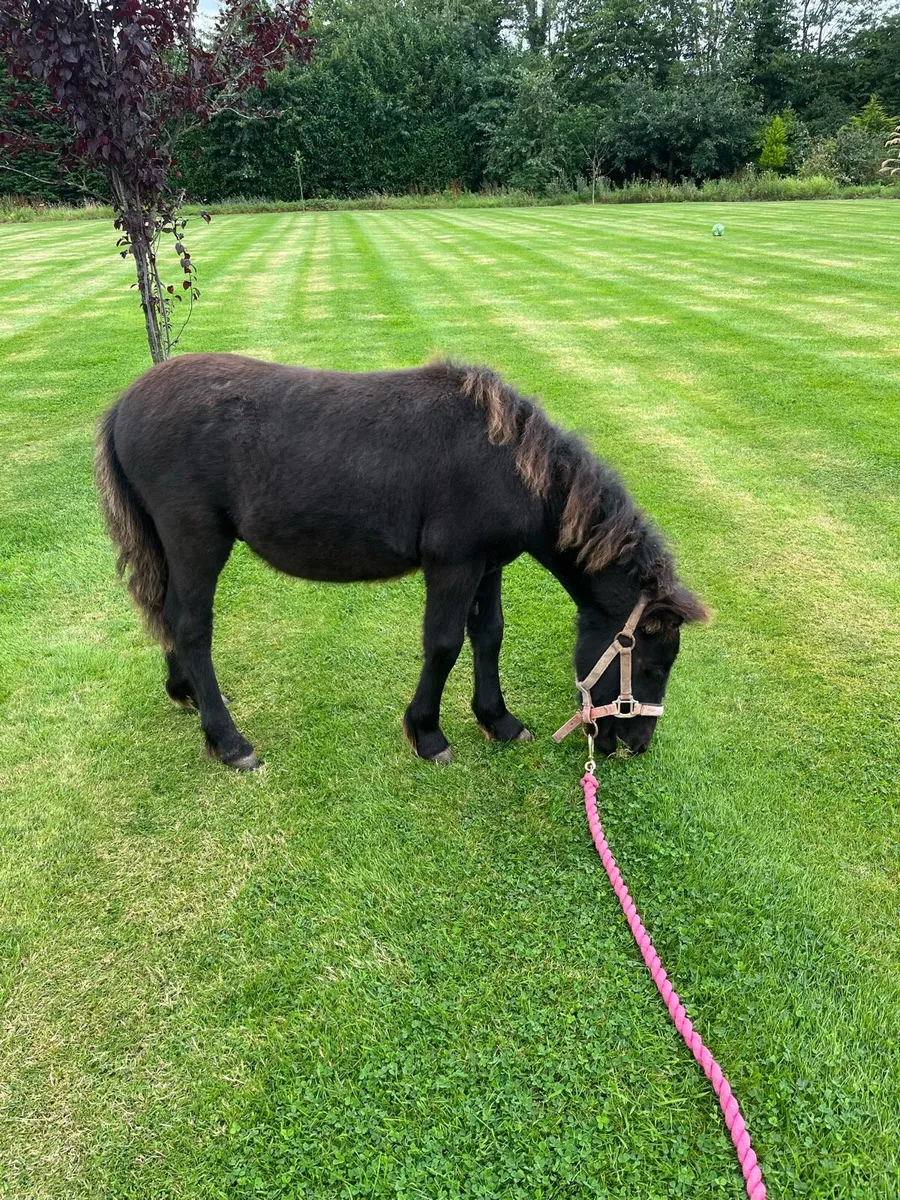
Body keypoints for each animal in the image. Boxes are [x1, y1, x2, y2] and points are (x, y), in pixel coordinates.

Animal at [94, 354, 707, 771]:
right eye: (652, 665)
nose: (635, 746)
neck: (505, 461)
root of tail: (123, 404)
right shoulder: (453, 565)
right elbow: (444, 644)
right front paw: (428, 734)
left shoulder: (488, 565)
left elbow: (489, 635)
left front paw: (498, 720)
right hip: (197, 542)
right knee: (191, 627)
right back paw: (228, 741)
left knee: (167, 615)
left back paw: (186, 693)